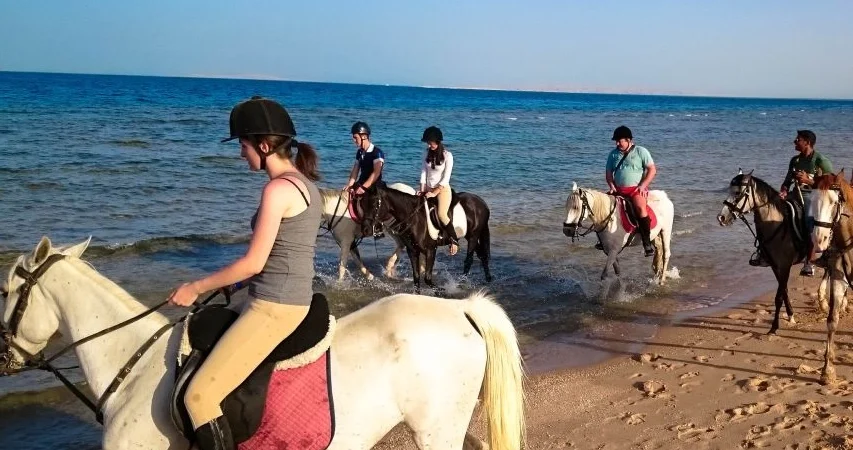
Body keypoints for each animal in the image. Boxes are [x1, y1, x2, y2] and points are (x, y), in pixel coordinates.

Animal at [358, 185, 492, 290]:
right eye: (362, 205)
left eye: (374, 204)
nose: (365, 230)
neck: (414, 219)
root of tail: (482, 203)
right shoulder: (412, 251)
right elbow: (416, 278)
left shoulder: (431, 250)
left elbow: (427, 278)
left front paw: (441, 291)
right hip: (470, 236)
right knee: (482, 255)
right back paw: (488, 279)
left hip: (474, 236)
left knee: (469, 260)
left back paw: (461, 283)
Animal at [716, 172, 828, 334]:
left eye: (738, 193)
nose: (721, 217)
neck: (776, 224)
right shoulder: (775, 266)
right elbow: (784, 291)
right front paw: (791, 316)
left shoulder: (785, 265)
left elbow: (778, 297)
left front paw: (774, 327)